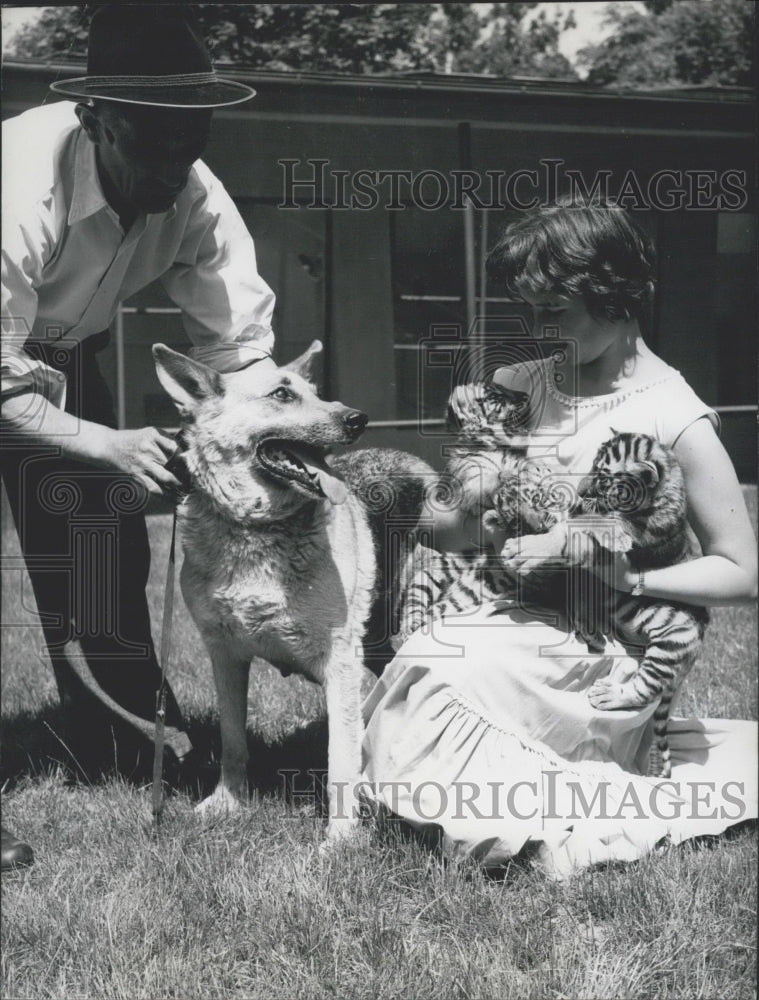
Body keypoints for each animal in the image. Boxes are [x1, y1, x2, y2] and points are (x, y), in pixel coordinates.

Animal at [153, 340, 434, 840]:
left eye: (316, 393)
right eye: (282, 394)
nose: (357, 419)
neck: (255, 527)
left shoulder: (339, 661)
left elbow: (340, 759)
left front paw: (340, 839)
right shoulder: (224, 655)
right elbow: (232, 740)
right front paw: (228, 802)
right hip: (375, 640)